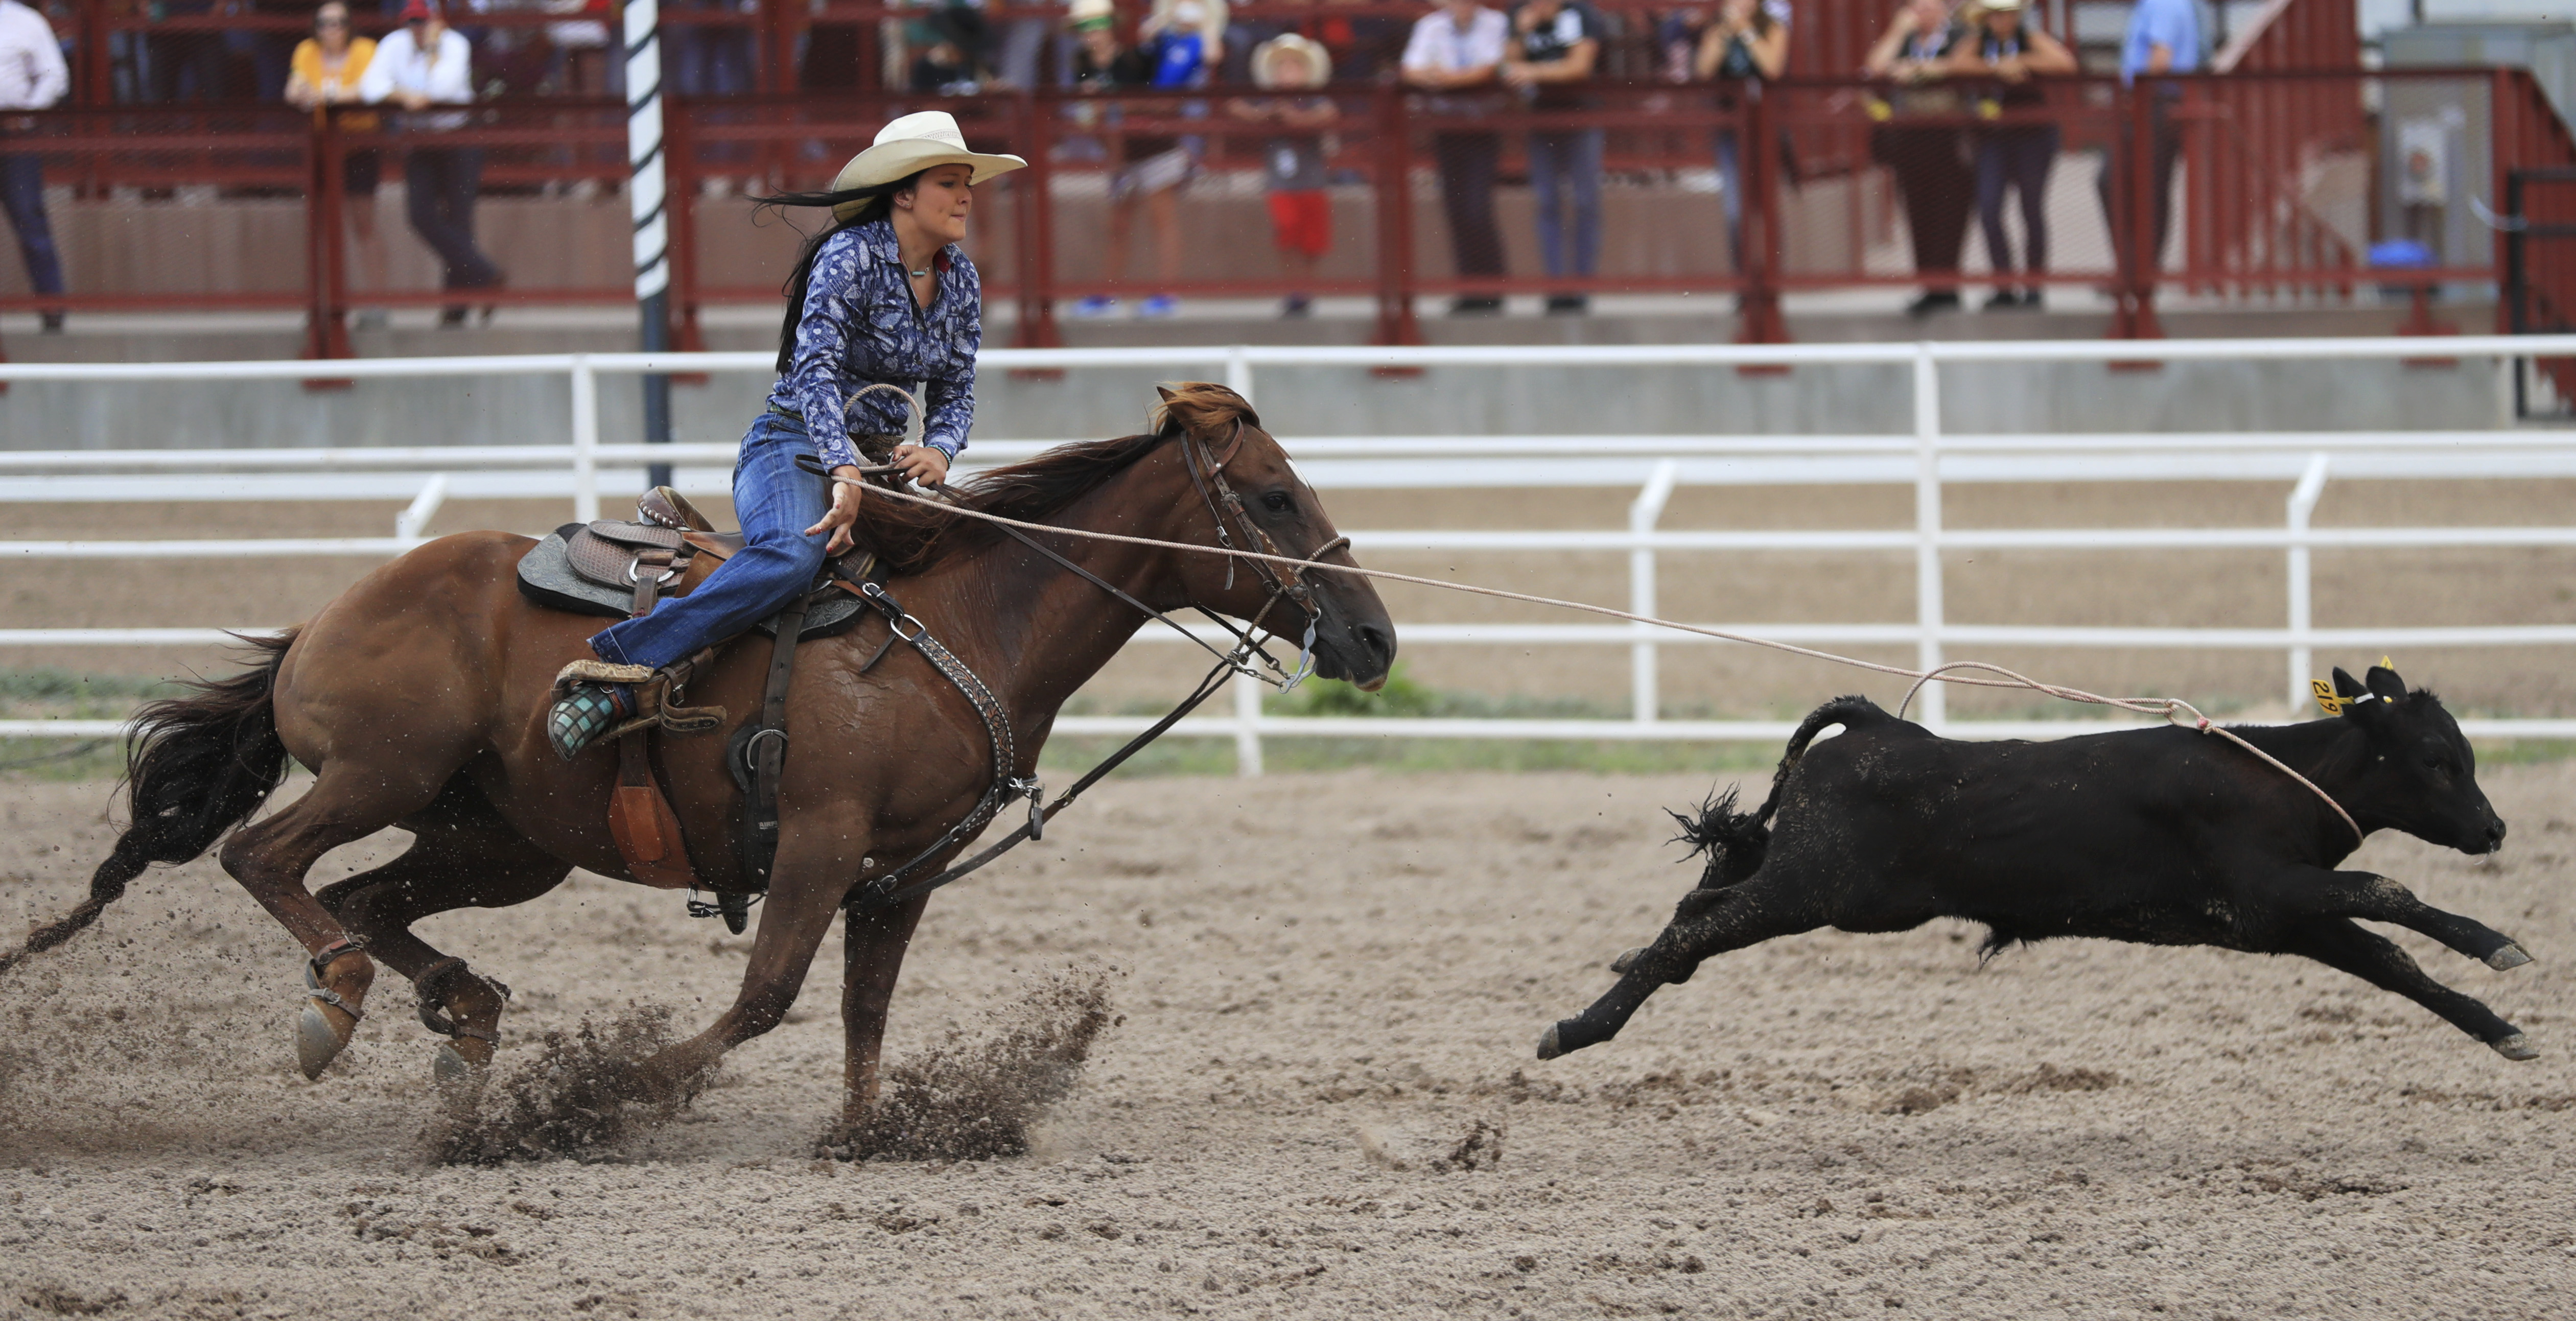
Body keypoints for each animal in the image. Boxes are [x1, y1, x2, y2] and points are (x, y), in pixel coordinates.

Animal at [5, 384, 1391, 1122]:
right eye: (1275, 497)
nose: (1373, 635)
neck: (960, 624)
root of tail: (332, 612)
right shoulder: (820, 844)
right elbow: (766, 996)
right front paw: (606, 1094)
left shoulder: (902, 874)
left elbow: (863, 1004)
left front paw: (866, 1135)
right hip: (376, 775)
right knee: (267, 858)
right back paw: (341, 1004)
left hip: (498, 842)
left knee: (362, 895)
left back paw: (463, 1013)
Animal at [1545, 659, 2535, 1060]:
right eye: (2437, 759)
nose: (2492, 830)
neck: (2278, 780)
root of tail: (1875, 728)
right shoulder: (2268, 887)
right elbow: (2388, 886)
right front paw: (2496, 942)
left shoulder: (2284, 920)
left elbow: (2394, 962)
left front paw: (2499, 1028)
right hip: (1811, 888)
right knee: (1695, 930)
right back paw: (1577, 1027)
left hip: (1815, 888)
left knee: (1692, 913)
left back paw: (1621, 969)